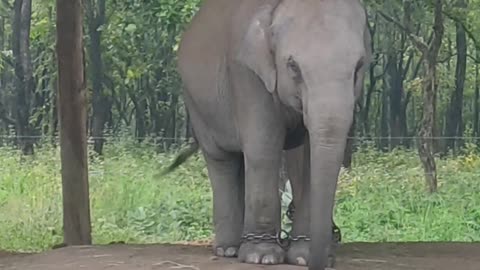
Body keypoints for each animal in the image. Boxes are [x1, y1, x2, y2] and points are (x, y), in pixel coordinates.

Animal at [167, 0, 374, 270]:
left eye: (359, 66)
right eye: (293, 66)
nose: (322, 261)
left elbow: (306, 158)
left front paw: (300, 257)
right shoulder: (246, 74)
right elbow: (263, 147)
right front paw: (261, 257)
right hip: (197, 104)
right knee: (222, 160)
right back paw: (229, 249)